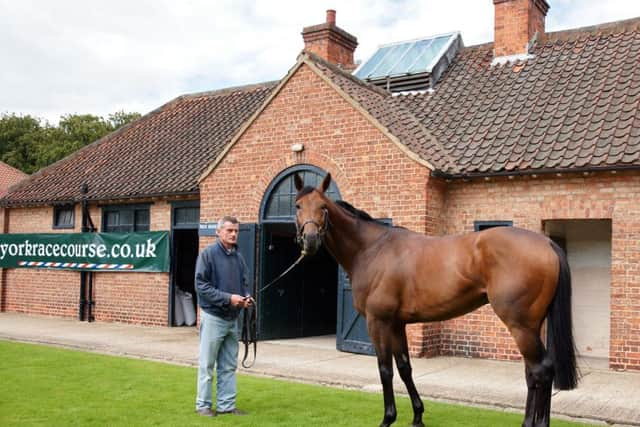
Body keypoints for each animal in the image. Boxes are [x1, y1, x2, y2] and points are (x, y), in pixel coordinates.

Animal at [292, 174, 576, 427]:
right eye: (297, 206)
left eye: (323, 207)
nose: (310, 240)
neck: (372, 249)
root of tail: (547, 243)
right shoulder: (397, 324)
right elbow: (404, 367)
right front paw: (417, 416)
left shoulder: (378, 322)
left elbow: (385, 370)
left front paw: (388, 419)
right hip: (531, 325)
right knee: (532, 373)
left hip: (520, 326)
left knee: (542, 370)